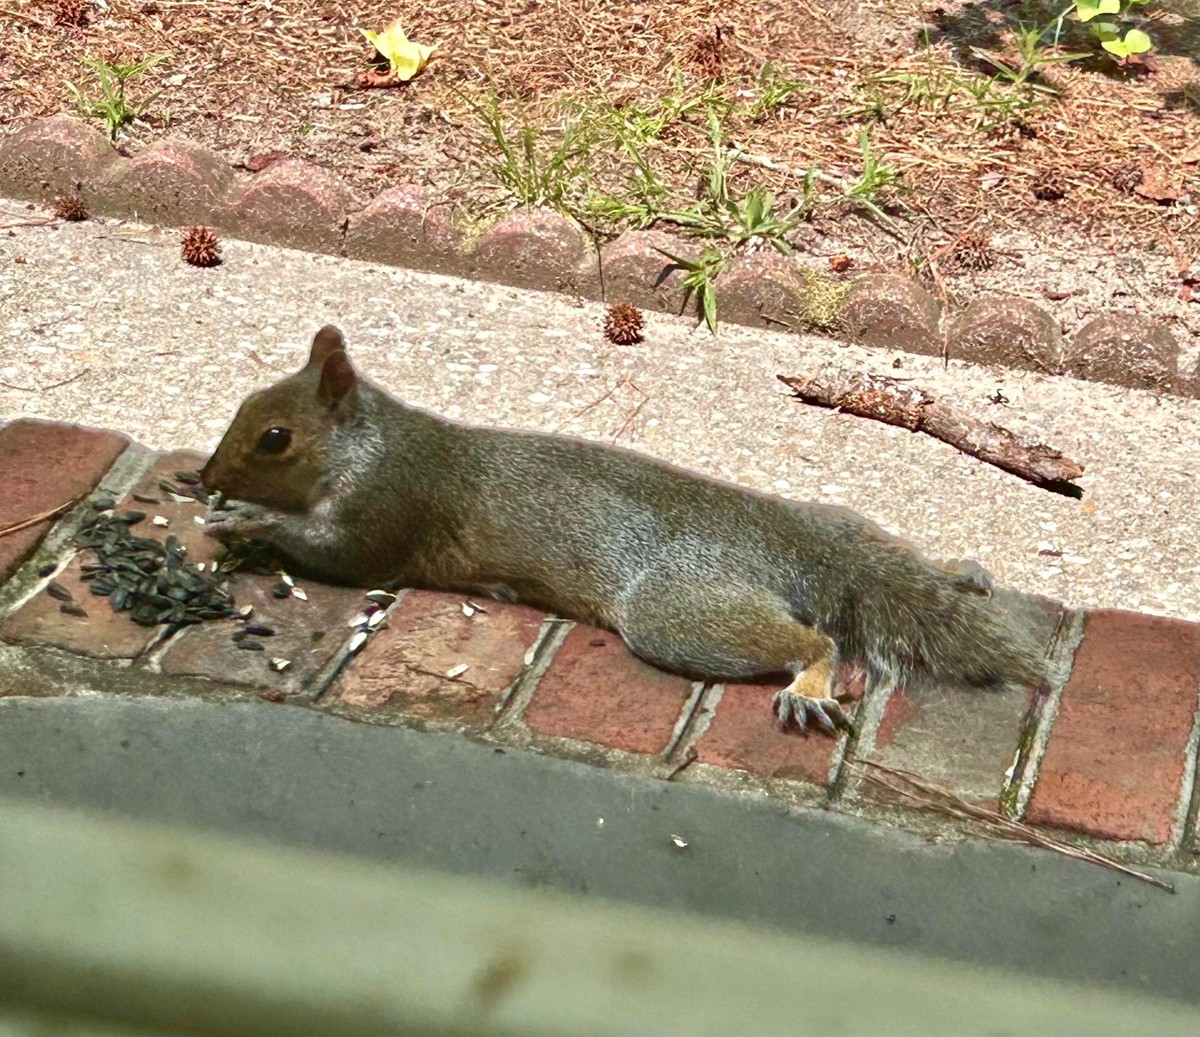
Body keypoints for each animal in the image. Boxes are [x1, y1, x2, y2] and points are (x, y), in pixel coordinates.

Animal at [201, 325, 1046, 736]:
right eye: (242, 403)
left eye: (275, 437)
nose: (210, 474)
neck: (369, 442)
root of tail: (791, 541)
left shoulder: (388, 505)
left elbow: (341, 556)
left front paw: (249, 518)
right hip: (844, 524)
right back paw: (959, 569)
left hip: (678, 612)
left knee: (817, 642)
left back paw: (809, 683)